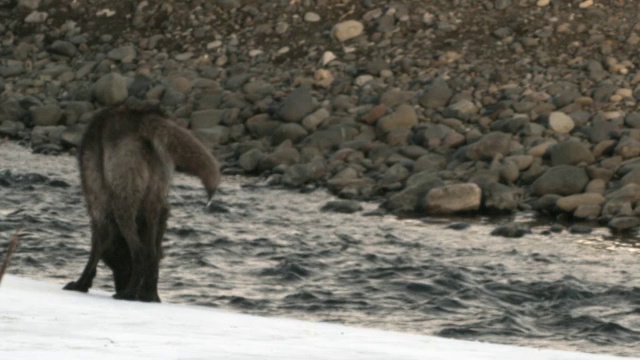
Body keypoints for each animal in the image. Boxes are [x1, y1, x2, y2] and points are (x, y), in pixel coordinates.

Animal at [65, 105, 220, 304]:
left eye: (118, 264)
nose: (120, 285)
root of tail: (142, 119)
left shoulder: (98, 204)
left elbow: (96, 248)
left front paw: (81, 284)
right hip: (155, 201)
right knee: (153, 254)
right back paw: (150, 296)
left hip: (122, 203)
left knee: (140, 252)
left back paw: (128, 294)